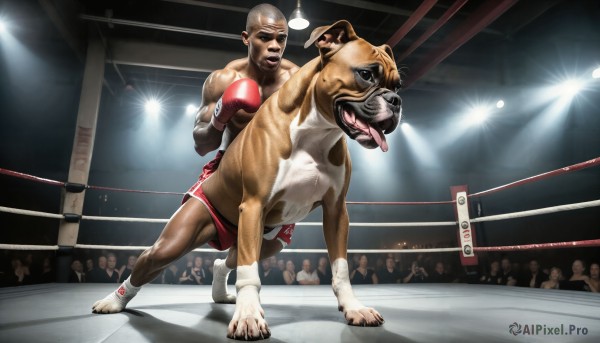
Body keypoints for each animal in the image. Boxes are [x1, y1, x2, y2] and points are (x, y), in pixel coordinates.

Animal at [199, 21, 400, 342]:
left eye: (398, 86)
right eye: (366, 75)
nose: (395, 101)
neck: (315, 131)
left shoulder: (336, 212)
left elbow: (341, 268)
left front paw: (353, 307)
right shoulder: (253, 206)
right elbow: (248, 270)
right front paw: (248, 315)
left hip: (268, 236)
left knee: (229, 258)